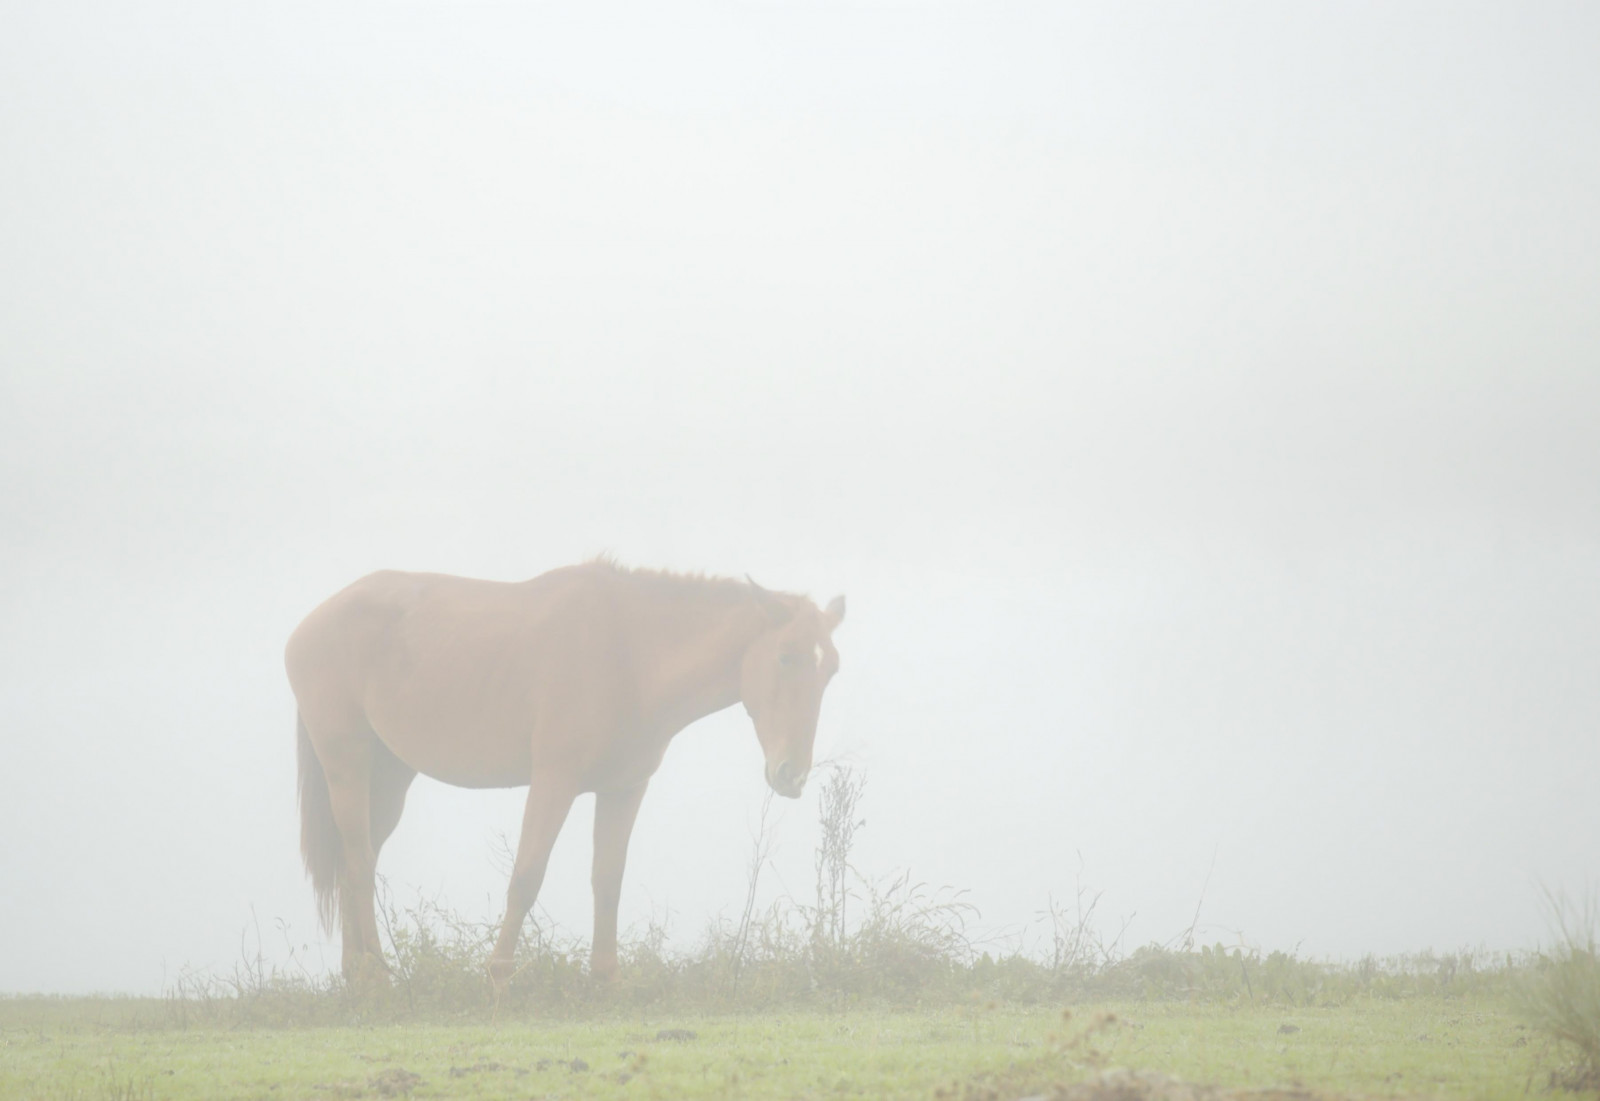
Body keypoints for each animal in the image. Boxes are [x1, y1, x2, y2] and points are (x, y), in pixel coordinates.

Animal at [284, 558, 845, 993]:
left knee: (356, 861)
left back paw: (356, 975)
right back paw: (377, 976)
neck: (629, 653)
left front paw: (606, 979)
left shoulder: (624, 789)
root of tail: (307, 627)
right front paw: (499, 977)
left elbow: (608, 879)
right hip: (347, 765)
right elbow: (527, 875)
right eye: (785, 656)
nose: (791, 775)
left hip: (390, 778)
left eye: (831, 669)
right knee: (358, 863)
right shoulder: (554, 782)